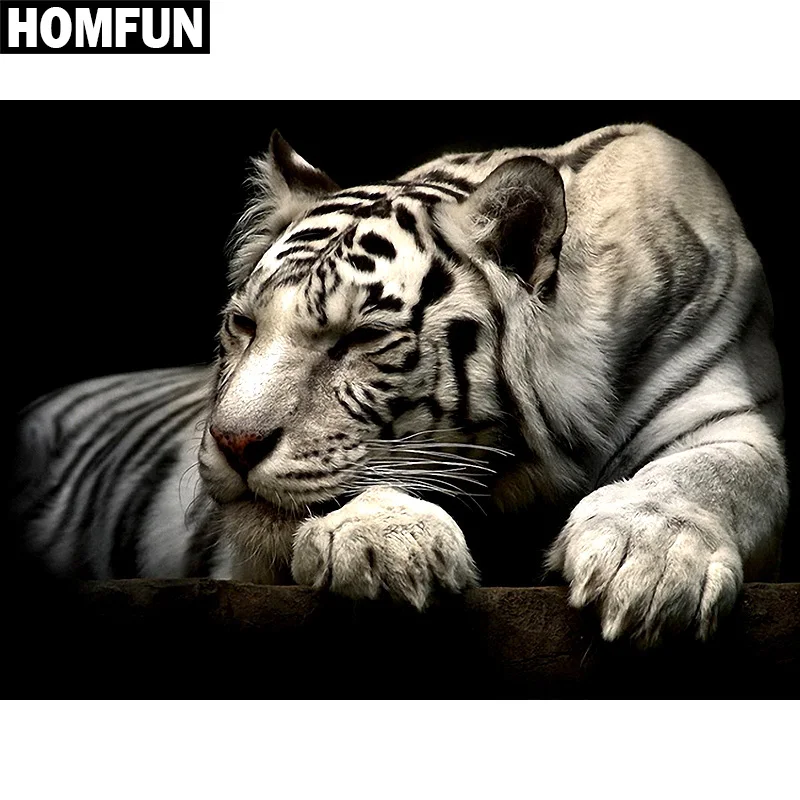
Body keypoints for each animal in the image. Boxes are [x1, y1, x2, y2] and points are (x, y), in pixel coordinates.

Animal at [12, 123, 787, 647]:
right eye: (244, 325)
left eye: (358, 339)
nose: (232, 443)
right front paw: (383, 543)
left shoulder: (726, 415)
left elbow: (713, 475)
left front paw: (648, 562)